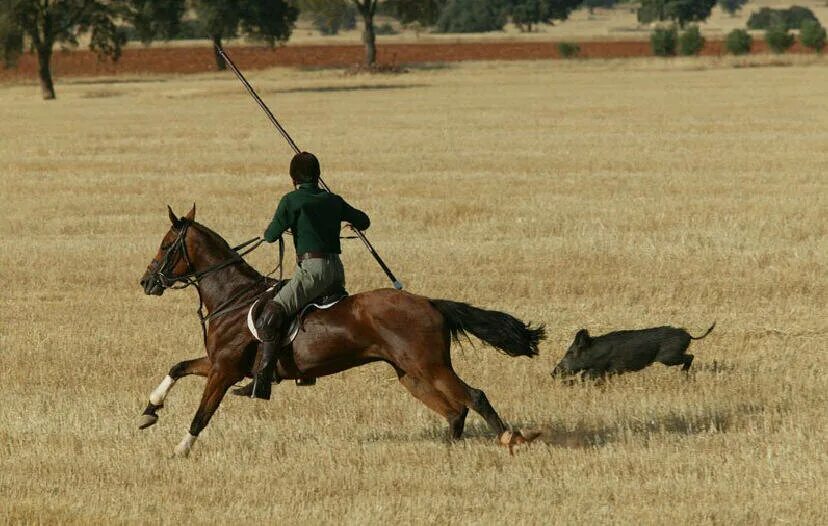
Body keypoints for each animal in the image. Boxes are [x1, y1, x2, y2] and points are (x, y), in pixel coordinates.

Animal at [139, 206, 548, 458]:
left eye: (165, 245)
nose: (146, 282)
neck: (234, 297)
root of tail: (429, 302)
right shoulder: (220, 363)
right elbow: (177, 367)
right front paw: (149, 411)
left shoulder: (224, 370)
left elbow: (202, 413)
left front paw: (180, 449)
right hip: (410, 374)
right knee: (454, 410)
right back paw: (450, 449)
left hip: (430, 366)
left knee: (473, 397)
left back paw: (509, 438)